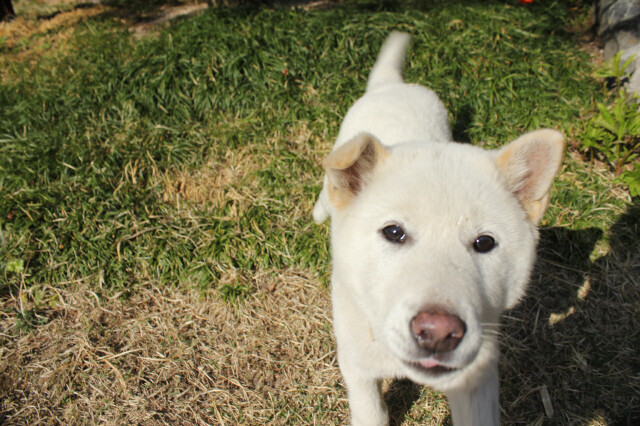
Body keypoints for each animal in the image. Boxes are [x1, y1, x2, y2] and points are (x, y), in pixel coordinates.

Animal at [312, 33, 564, 426]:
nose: (438, 333)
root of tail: (393, 85)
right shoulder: (357, 365)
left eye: (484, 242)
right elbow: (370, 410)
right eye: (393, 233)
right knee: (328, 186)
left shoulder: (478, 378)